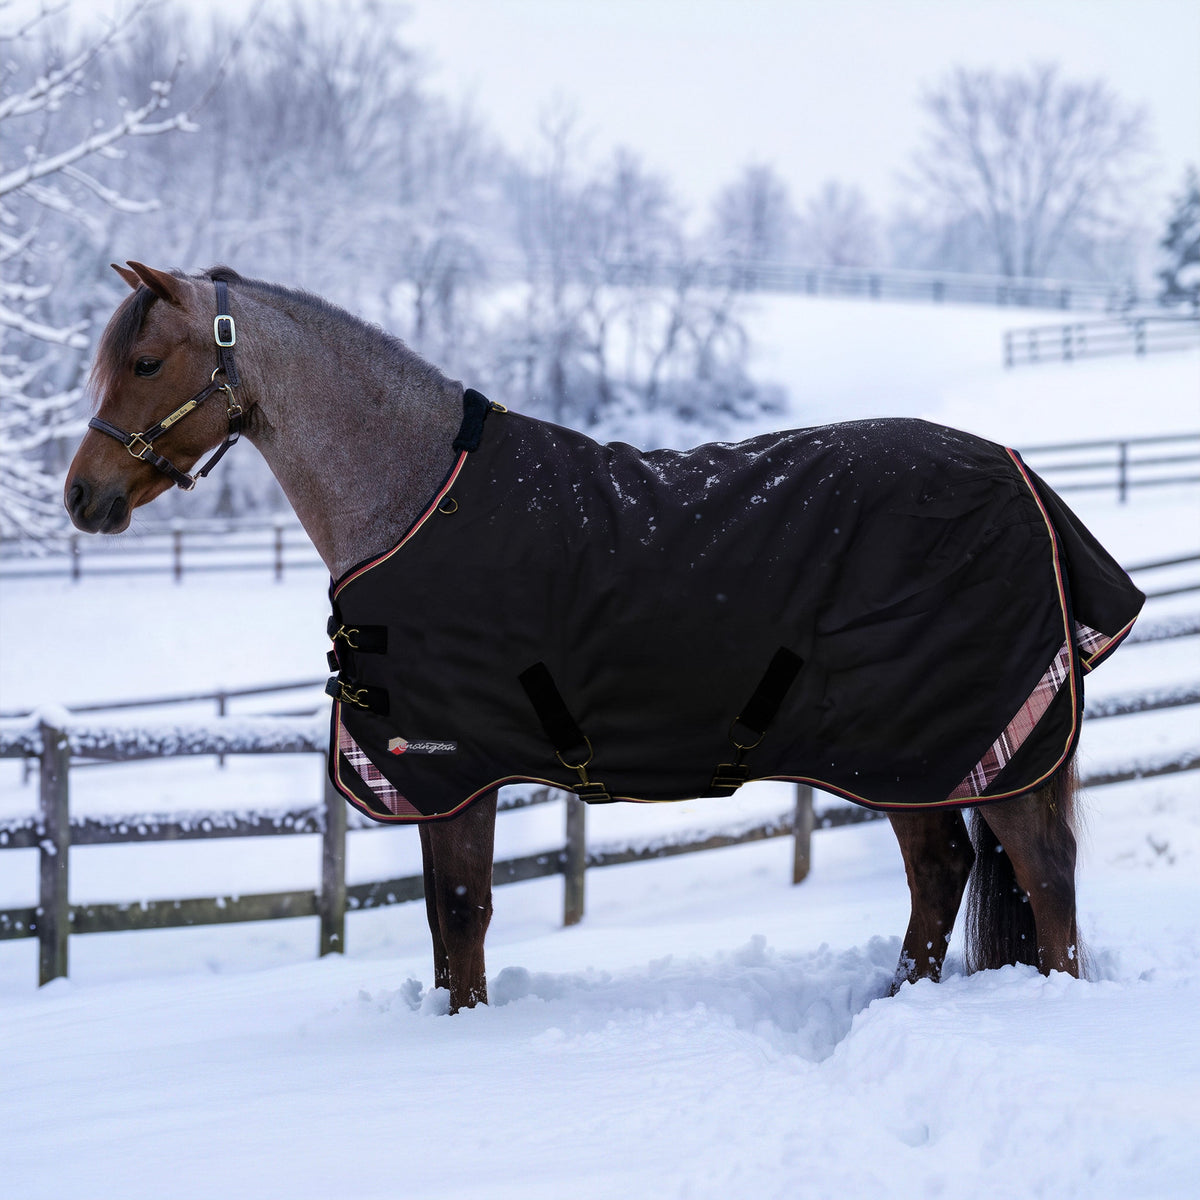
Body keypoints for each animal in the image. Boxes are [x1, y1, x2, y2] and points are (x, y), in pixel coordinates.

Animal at [65, 262, 1140, 1012]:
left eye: (147, 363)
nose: (83, 497)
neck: (414, 496)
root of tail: (1021, 478)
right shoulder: (457, 777)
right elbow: (447, 925)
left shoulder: (452, 767)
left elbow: (462, 916)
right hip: (908, 755)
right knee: (942, 872)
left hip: (967, 744)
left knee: (1041, 877)